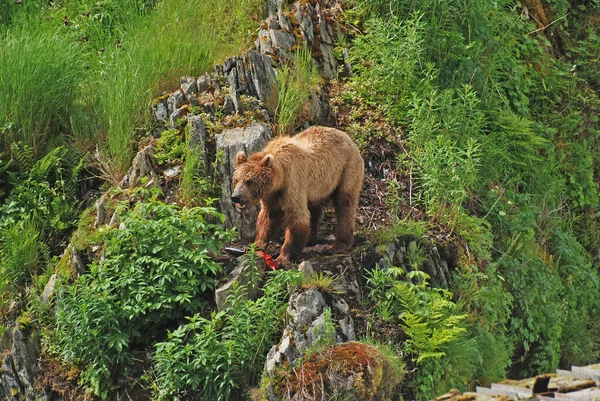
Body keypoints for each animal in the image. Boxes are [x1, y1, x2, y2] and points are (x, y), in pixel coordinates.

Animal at [230, 124, 364, 262]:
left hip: (346, 169)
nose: (235, 197)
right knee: (314, 208)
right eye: (236, 179)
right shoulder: (272, 195)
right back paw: (310, 239)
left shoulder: (292, 184)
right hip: (317, 187)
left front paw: (282, 259)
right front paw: (255, 246)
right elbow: (268, 217)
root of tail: (346, 136)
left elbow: (297, 217)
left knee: (344, 204)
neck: (280, 178)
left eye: (249, 181)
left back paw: (339, 245)